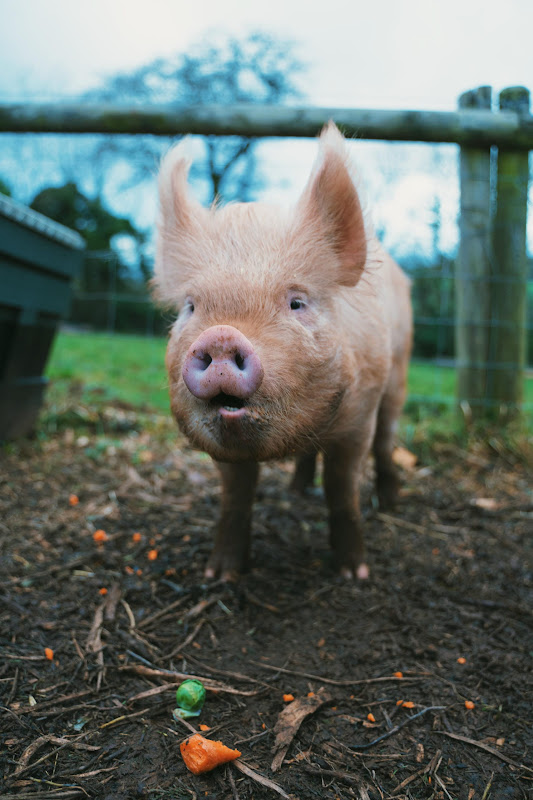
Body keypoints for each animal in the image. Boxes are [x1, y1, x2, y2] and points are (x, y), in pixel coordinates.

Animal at [153, 122, 412, 581]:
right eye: (191, 307)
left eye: (296, 302)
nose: (221, 336)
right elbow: (236, 495)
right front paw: (219, 576)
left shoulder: (360, 414)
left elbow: (342, 487)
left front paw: (353, 574)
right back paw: (296, 491)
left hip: (398, 371)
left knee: (386, 440)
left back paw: (391, 502)